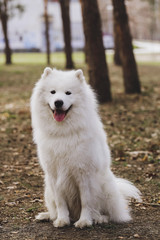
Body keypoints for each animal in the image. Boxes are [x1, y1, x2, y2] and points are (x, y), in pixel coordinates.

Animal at [30, 68, 141, 229]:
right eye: (53, 92)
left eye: (68, 93)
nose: (58, 102)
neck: (64, 133)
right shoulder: (54, 176)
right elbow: (60, 202)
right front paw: (62, 220)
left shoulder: (84, 174)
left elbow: (86, 201)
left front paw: (84, 221)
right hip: (48, 191)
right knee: (53, 209)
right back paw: (47, 216)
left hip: (105, 188)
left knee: (108, 213)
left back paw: (99, 218)